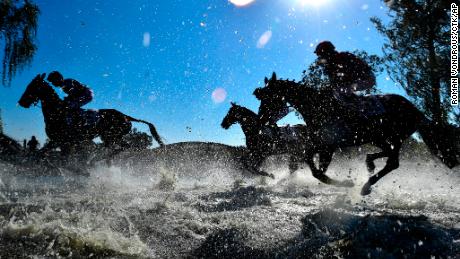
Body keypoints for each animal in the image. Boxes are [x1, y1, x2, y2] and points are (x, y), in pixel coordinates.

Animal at [18, 74, 165, 157]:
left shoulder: (61, 141)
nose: (21, 102)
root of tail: (126, 116)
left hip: (112, 136)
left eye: (32, 86)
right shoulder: (60, 142)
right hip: (110, 138)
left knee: (126, 147)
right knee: (122, 147)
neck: (56, 112)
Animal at [253, 72, 458, 195]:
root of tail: (415, 110)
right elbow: (312, 166)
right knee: (387, 155)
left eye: (268, 98)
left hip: (394, 137)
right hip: (379, 138)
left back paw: (366, 185)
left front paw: (346, 183)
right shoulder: (319, 145)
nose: (260, 119)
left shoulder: (328, 146)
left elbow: (318, 171)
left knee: (393, 162)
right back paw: (369, 164)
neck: (317, 106)